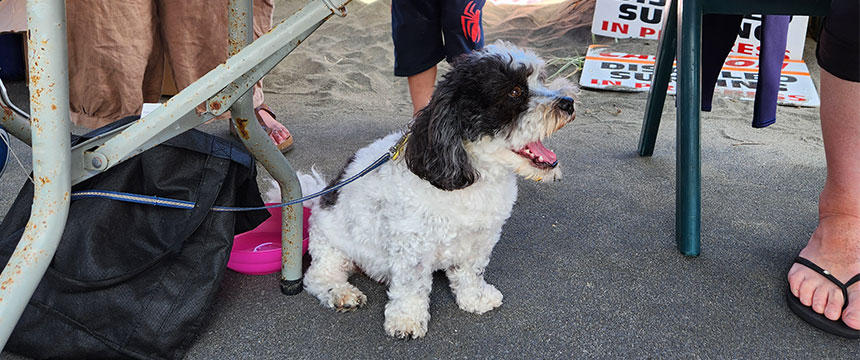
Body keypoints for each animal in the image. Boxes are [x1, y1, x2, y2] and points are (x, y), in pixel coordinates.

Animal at [298, 40, 576, 338]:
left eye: (541, 80)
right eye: (514, 92)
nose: (568, 102)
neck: (473, 178)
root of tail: (320, 198)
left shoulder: (479, 240)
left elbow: (472, 272)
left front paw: (475, 299)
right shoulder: (412, 247)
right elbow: (411, 286)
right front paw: (406, 320)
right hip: (332, 247)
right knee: (318, 276)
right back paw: (341, 293)